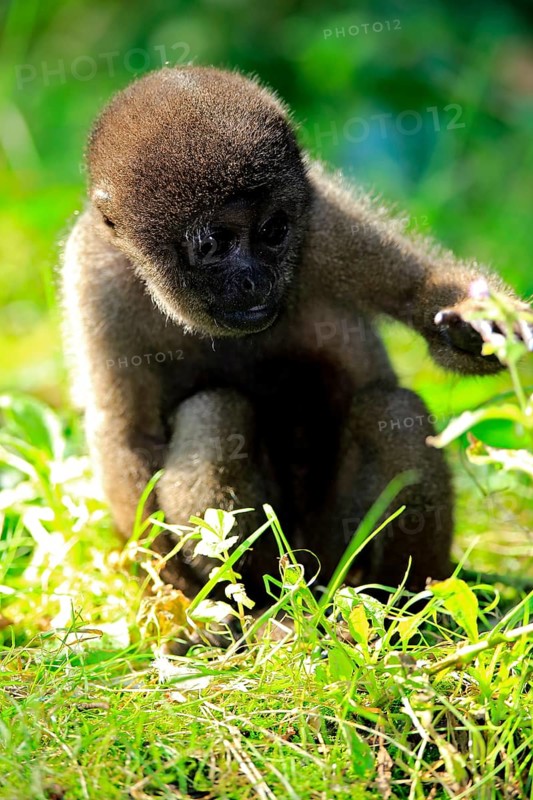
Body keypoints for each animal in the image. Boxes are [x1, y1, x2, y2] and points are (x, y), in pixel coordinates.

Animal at [62, 66, 532, 620]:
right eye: (213, 244)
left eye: (272, 230)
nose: (253, 279)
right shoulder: (96, 277)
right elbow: (127, 433)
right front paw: (175, 595)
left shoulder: (325, 223)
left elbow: (418, 293)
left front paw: (478, 326)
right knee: (216, 412)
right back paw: (260, 611)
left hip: (335, 543)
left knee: (390, 410)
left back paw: (401, 605)